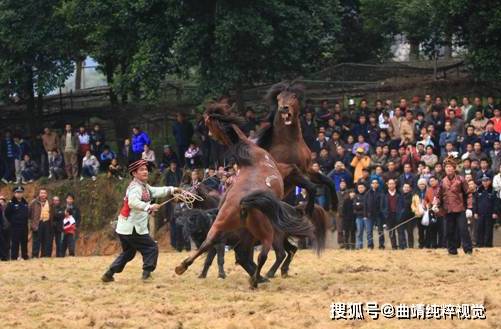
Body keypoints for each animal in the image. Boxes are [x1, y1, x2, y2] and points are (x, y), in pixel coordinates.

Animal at [175, 101, 324, 286]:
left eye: (207, 124)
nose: (209, 134)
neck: (251, 155)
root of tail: (243, 204)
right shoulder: (286, 172)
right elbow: (308, 184)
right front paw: (309, 205)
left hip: (227, 228)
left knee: (210, 244)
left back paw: (183, 266)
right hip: (265, 233)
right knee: (263, 255)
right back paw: (258, 278)